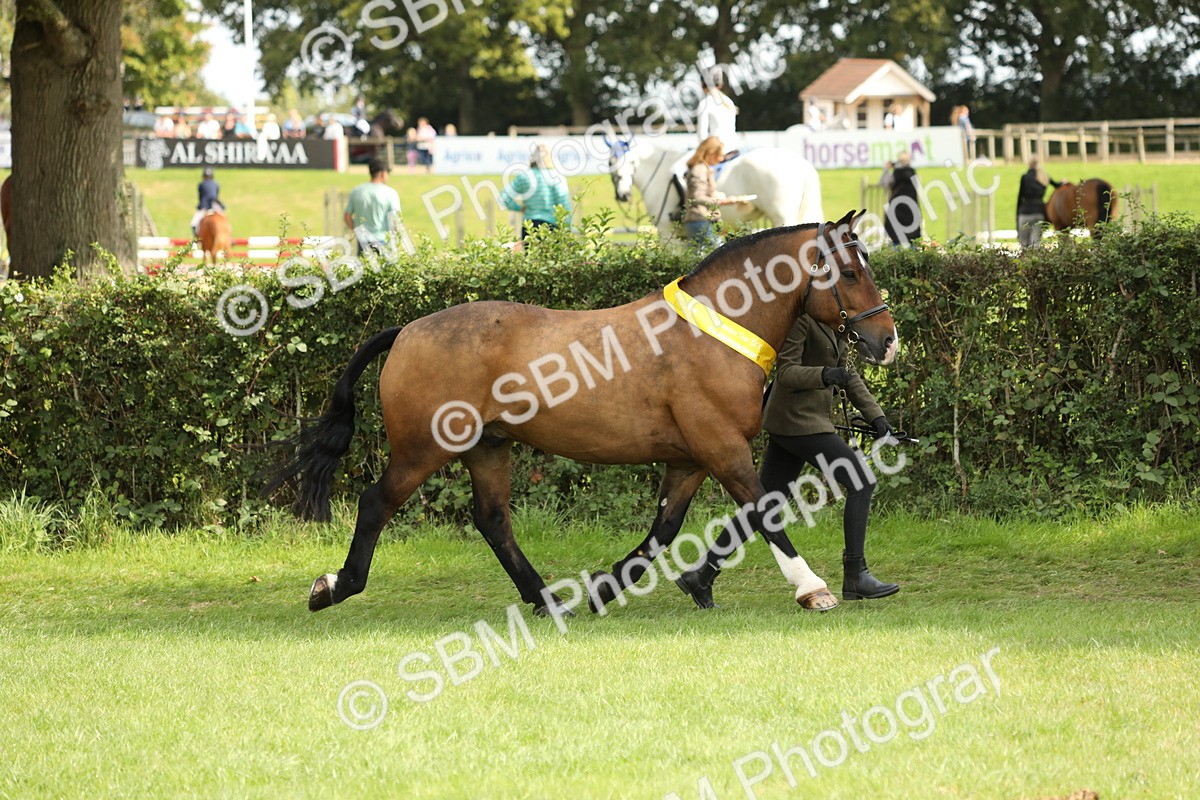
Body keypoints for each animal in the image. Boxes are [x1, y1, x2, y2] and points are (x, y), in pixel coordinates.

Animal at [266, 210, 897, 618]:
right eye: (849, 272)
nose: (886, 341)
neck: (713, 331)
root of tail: (406, 331)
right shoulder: (722, 449)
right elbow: (765, 512)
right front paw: (813, 588)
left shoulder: (691, 459)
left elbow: (662, 532)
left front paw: (605, 590)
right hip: (424, 449)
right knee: (376, 503)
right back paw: (335, 586)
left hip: (488, 447)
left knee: (492, 520)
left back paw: (548, 599)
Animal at [607, 139, 824, 238]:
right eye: (610, 162)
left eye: (631, 161)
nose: (623, 195)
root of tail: (801, 163)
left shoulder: (667, 232)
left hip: (782, 218)